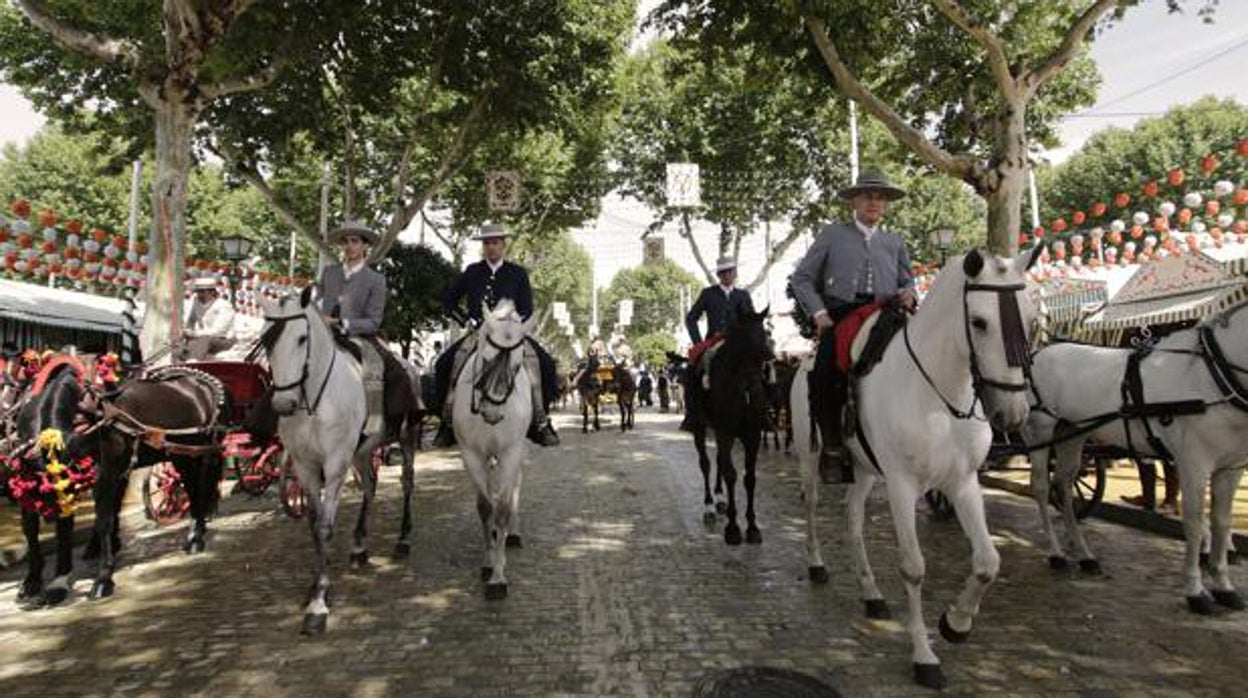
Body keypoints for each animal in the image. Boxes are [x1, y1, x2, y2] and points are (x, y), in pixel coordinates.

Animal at [260, 288, 421, 634]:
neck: (312, 402)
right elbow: (313, 523)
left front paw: (319, 601)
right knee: (370, 486)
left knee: (407, 483)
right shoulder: (305, 466)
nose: (282, 403)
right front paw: (315, 583)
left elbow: (324, 527)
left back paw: (403, 540)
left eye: (302, 338)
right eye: (266, 340)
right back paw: (359, 546)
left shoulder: (334, 465)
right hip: (361, 452)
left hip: (407, 438)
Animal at [454, 300, 531, 601]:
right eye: (486, 358)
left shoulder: (511, 451)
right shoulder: (472, 454)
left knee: (515, 488)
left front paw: (498, 576)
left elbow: (502, 508)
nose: (493, 412)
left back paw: (512, 533)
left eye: (518, 364)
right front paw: (489, 563)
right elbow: (486, 507)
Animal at [793, 248, 1038, 689]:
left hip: (865, 470)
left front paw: (956, 623)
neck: (939, 393)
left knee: (853, 520)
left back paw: (871, 593)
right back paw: (818, 565)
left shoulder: (962, 483)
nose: (1012, 414)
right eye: (979, 322)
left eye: (1031, 320)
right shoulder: (902, 486)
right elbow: (913, 568)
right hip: (811, 456)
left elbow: (988, 562)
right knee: (813, 507)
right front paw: (924, 655)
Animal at [1023, 303, 1248, 614]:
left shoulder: (1231, 467)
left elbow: (1221, 523)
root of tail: (1039, 352)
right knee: (1043, 488)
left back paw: (1085, 555)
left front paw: (1224, 586)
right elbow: (1193, 523)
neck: (1210, 374)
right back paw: (1056, 553)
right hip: (1041, 432)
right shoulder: (1193, 464)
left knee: (1065, 487)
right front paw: (1195, 591)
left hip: (1072, 433)